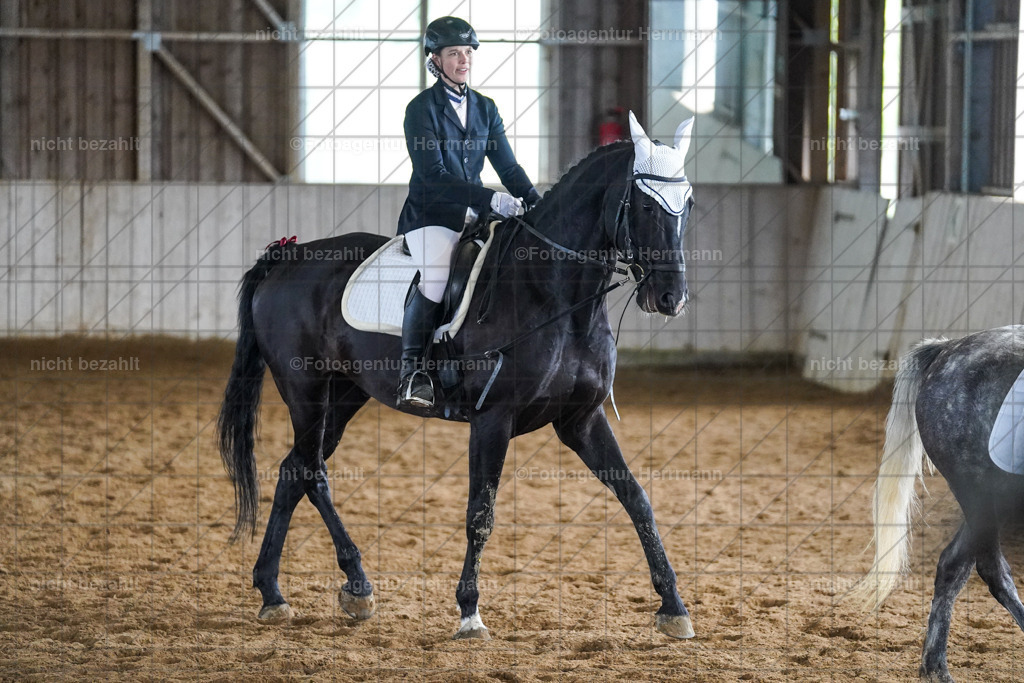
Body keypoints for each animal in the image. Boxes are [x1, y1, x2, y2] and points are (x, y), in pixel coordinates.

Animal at [216, 113, 699, 641]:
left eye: (689, 203)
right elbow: (480, 514)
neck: (552, 293)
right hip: (306, 391)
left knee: (293, 471)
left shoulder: (581, 420)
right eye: (644, 204)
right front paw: (469, 612)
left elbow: (637, 498)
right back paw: (355, 585)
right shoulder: (493, 419)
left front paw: (674, 607)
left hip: (344, 396)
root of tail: (287, 257)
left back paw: (275, 592)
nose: (671, 298)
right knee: (312, 471)